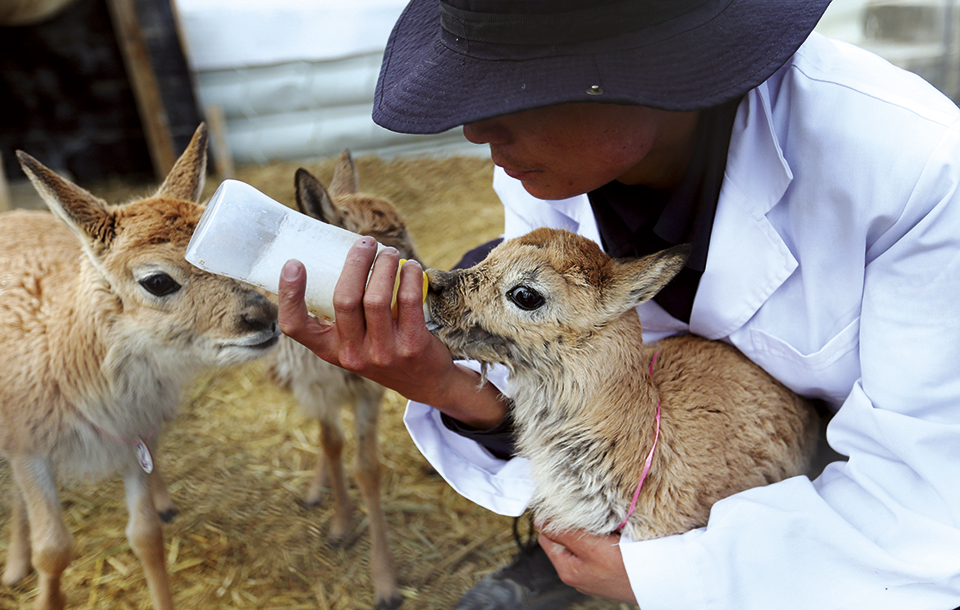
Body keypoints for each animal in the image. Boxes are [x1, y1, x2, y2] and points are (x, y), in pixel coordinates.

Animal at [0, 124, 282, 608]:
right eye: (157, 280)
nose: (263, 317)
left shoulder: (133, 435)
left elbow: (146, 535)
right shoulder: (28, 444)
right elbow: (52, 549)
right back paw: (15, 564)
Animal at [266, 148, 408, 608]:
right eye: (383, 247)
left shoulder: (369, 391)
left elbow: (366, 468)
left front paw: (385, 580)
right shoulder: (315, 387)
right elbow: (330, 444)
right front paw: (341, 526)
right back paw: (315, 491)